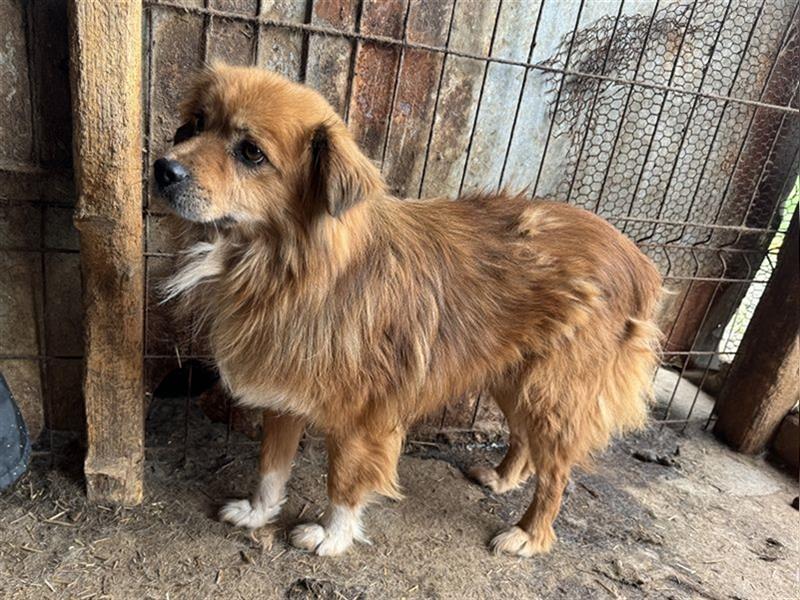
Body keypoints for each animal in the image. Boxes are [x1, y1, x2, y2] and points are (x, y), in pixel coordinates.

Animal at [152, 64, 664, 556]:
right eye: (193, 125)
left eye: (251, 152)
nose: (162, 168)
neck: (295, 268)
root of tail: (636, 258)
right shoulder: (285, 390)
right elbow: (271, 467)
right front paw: (259, 512)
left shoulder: (363, 416)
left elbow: (344, 480)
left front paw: (332, 536)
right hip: (515, 376)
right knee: (522, 437)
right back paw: (503, 478)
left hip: (553, 391)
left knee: (557, 472)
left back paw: (529, 535)